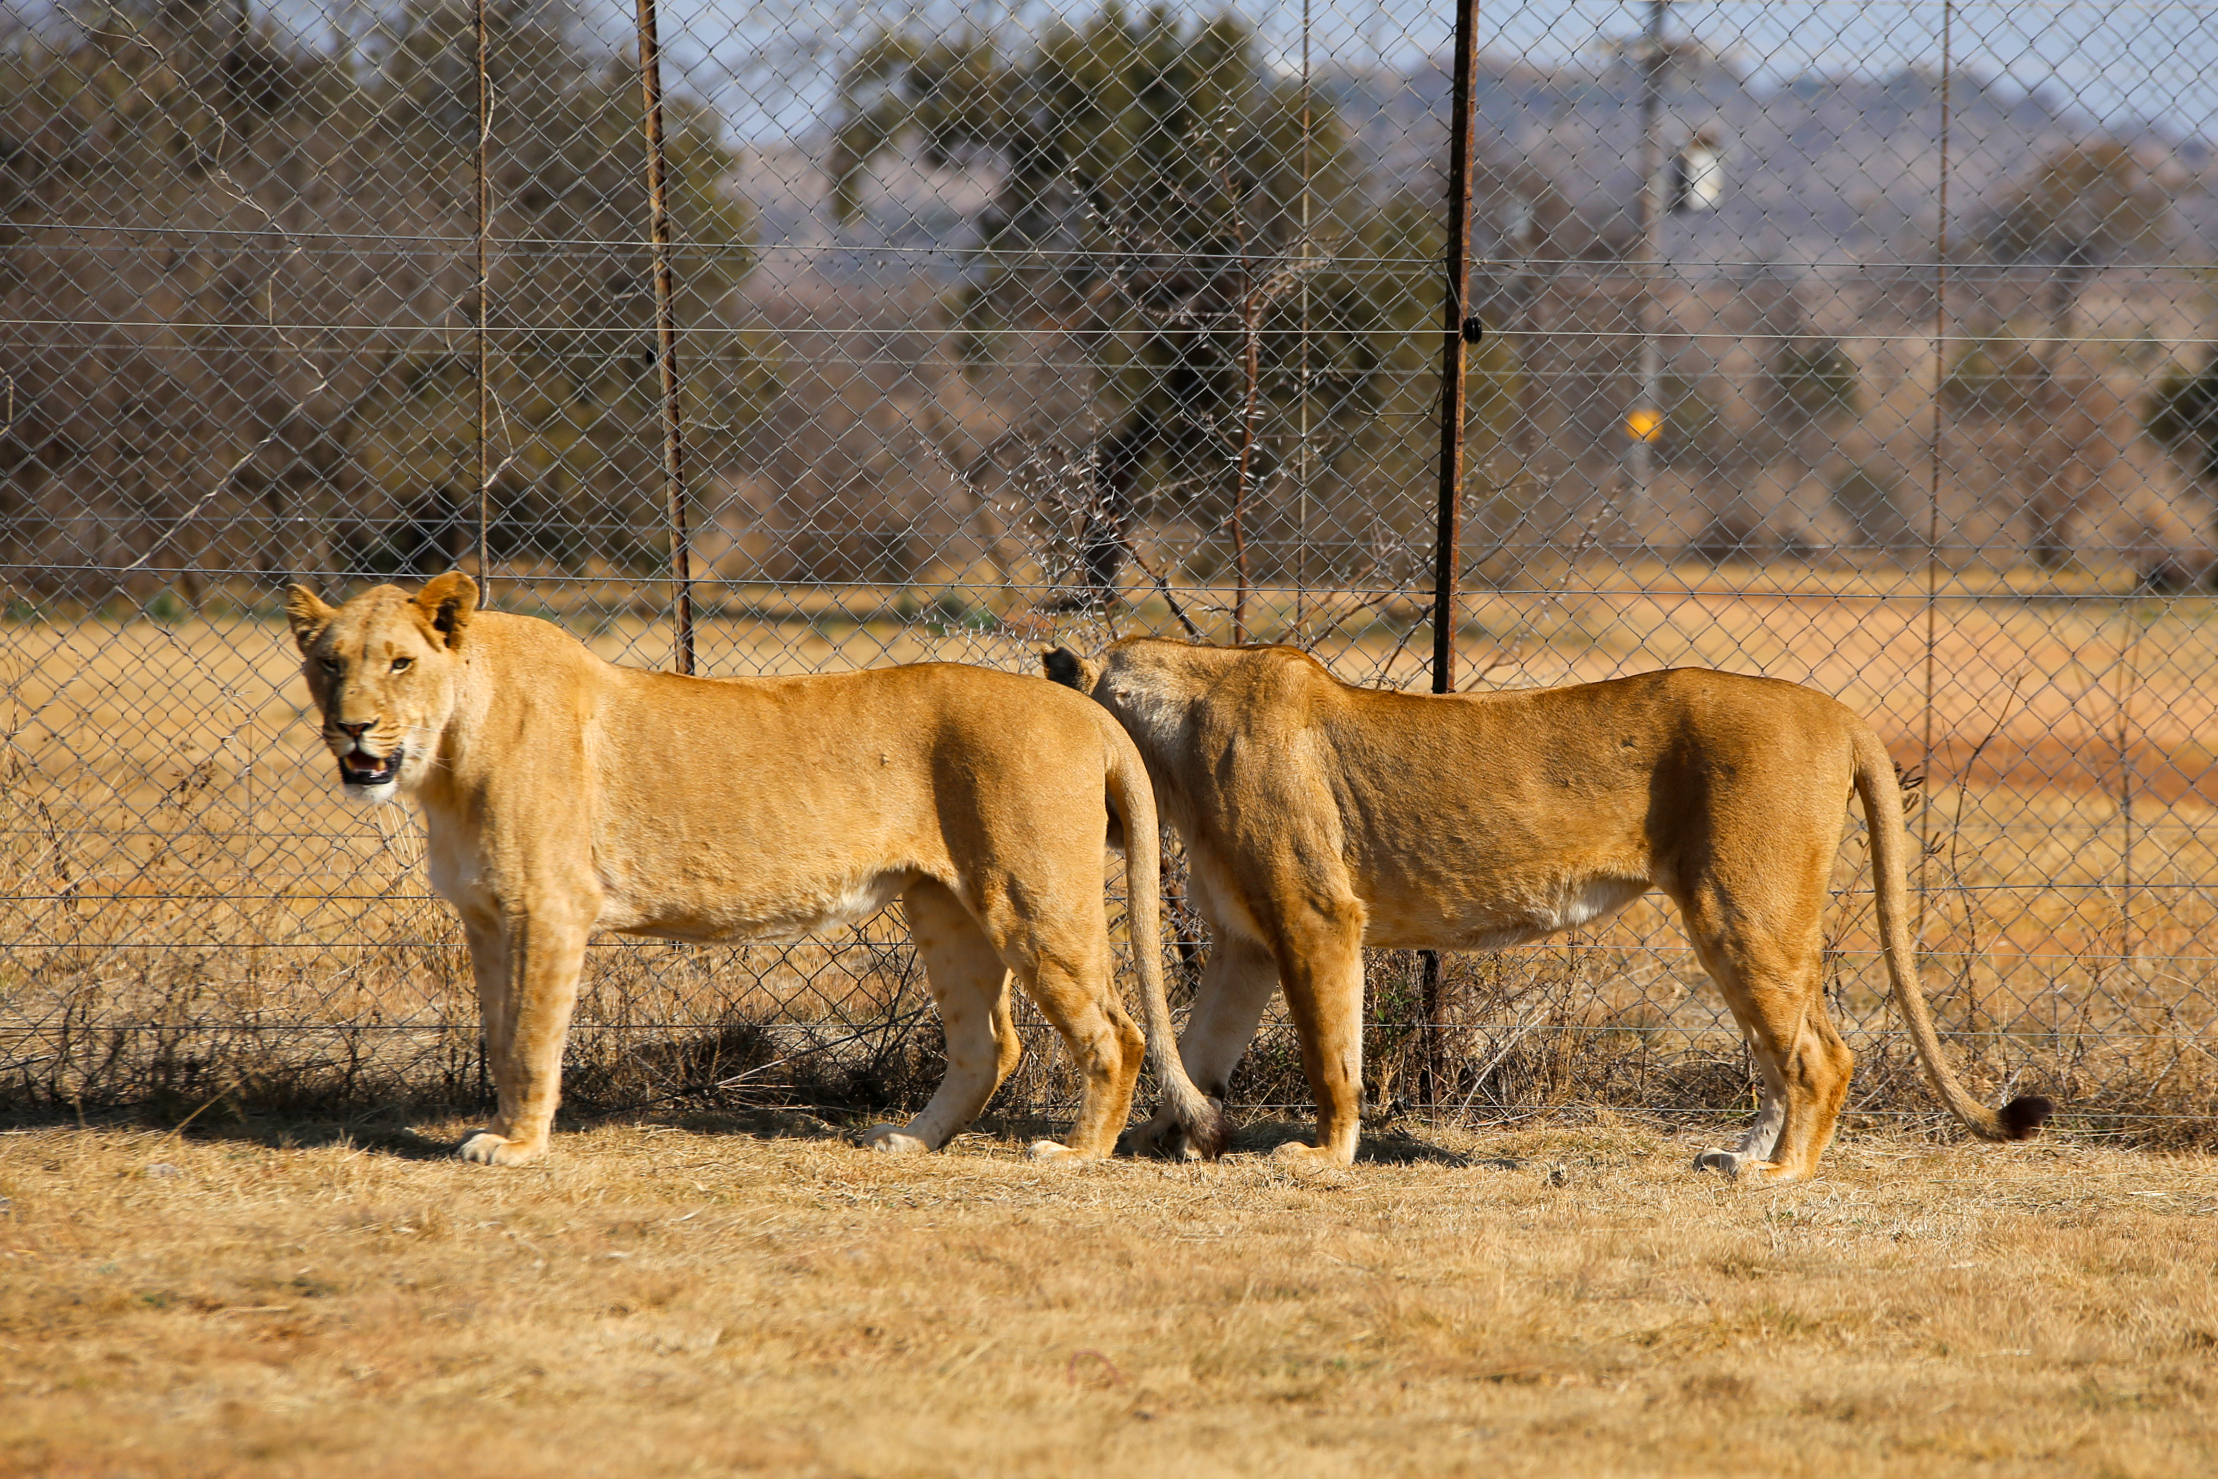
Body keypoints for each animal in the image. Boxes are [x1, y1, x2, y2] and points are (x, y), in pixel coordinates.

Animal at [282, 573, 1224, 1166]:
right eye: (328, 662)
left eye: (401, 661)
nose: (353, 728)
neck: (444, 757)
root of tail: (1085, 710)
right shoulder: (486, 914)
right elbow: (499, 1030)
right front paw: (505, 1130)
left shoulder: (549, 909)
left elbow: (529, 1040)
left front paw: (513, 1146)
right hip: (946, 907)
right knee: (988, 1044)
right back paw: (909, 1140)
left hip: (1034, 897)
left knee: (1117, 1031)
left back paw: (1076, 1152)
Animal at [1044, 638, 2051, 1183]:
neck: (1175, 740)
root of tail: (1841, 713)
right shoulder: (1247, 942)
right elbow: (1204, 1046)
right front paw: (1165, 1134)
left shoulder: (1317, 914)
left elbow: (1332, 1058)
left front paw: (1321, 1156)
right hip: (1729, 919)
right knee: (1780, 1055)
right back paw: (1737, 1156)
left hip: (1746, 908)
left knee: (1822, 1053)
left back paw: (1779, 1173)